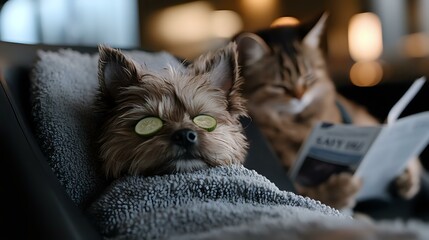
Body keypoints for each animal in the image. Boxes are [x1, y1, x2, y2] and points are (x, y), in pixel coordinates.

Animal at [232, 13, 420, 209]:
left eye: (308, 77)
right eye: (279, 86)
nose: (299, 97)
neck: (298, 122)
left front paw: (408, 175)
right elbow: (310, 193)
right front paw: (340, 190)